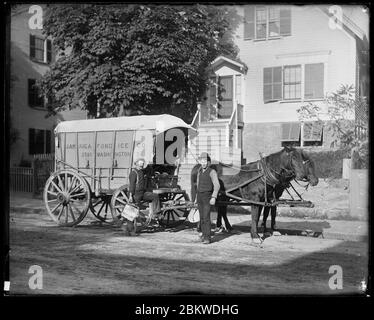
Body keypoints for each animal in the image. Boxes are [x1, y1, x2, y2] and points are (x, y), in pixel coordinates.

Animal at [190, 147, 318, 245]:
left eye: (303, 160)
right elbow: (256, 217)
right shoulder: (256, 200)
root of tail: (198, 166)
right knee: (201, 209)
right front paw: (256, 236)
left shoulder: (266, 199)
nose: (315, 181)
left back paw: (226, 227)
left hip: (222, 196)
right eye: (293, 158)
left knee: (221, 210)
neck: (264, 174)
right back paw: (201, 230)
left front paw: (267, 231)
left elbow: (265, 215)